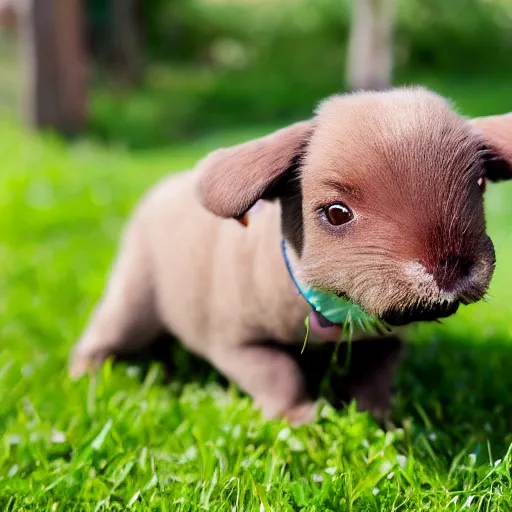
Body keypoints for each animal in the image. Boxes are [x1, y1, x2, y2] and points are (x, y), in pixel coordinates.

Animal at [69, 87, 512, 424]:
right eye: (336, 213)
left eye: (479, 187)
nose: (450, 267)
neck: (335, 313)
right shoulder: (240, 346)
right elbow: (279, 376)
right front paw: (300, 421)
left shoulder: (384, 346)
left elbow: (373, 381)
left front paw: (384, 422)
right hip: (132, 299)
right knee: (101, 335)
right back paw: (85, 378)